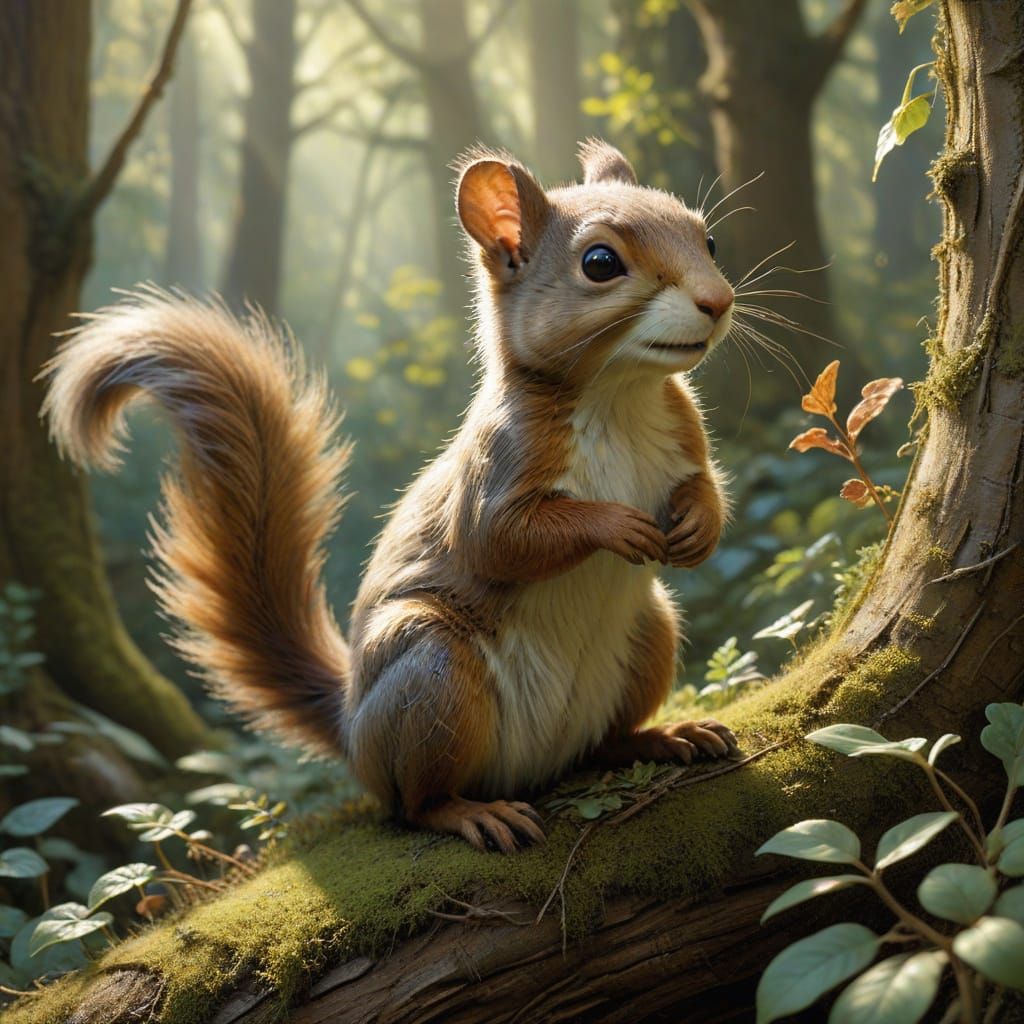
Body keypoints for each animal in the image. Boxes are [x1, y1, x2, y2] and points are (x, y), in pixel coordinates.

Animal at [43, 140, 740, 853]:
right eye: (600, 263)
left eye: (708, 239)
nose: (719, 300)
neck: (616, 398)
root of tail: (353, 729)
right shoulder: (496, 470)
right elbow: (501, 542)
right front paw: (616, 526)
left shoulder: (684, 438)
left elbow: (703, 484)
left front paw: (701, 526)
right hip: (432, 675)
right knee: (414, 801)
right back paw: (471, 813)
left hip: (649, 632)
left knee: (602, 744)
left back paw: (662, 735)